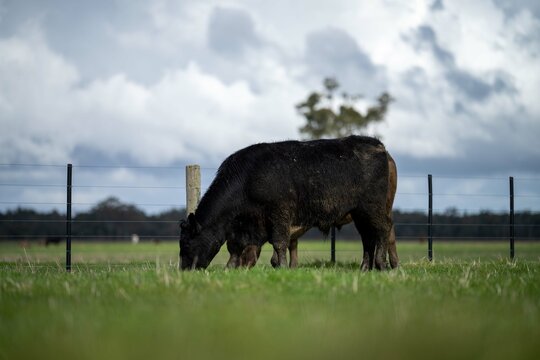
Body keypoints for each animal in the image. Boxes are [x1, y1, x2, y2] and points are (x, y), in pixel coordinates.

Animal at [180, 135, 396, 270]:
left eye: (187, 243)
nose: (184, 270)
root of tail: (378, 145)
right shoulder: (243, 227)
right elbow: (235, 247)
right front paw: (230, 269)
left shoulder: (280, 213)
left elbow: (279, 242)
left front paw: (283, 267)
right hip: (360, 213)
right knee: (368, 237)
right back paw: (365, 268)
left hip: (373, 208)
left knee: (384, 230)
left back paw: (382, 265)